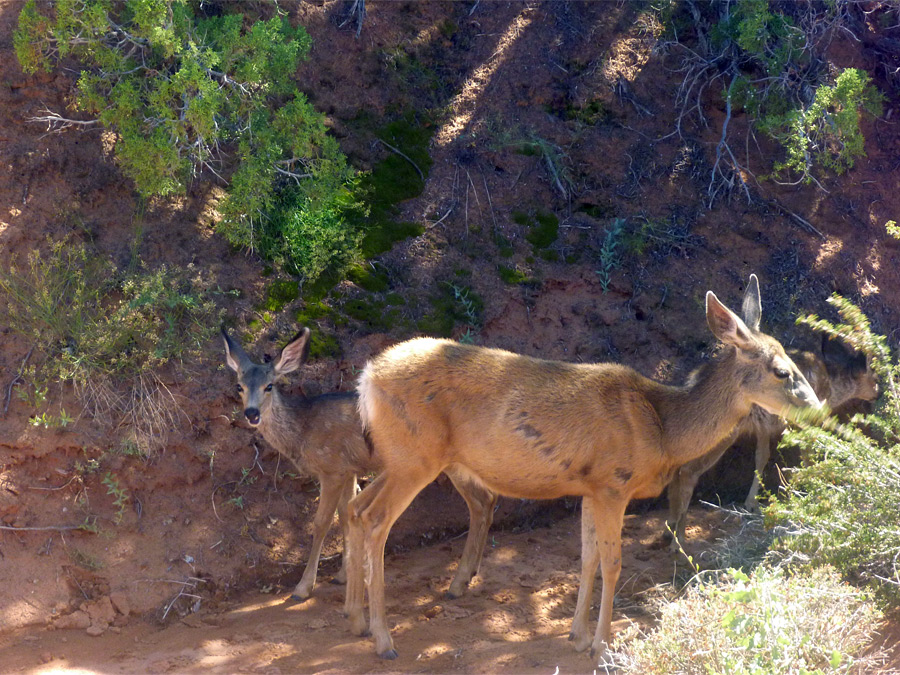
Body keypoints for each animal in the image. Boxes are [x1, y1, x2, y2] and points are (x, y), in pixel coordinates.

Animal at [221, 328, 496, 604]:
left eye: (269, 386)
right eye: (239, 386)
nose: (252, 413)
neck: (303, 429)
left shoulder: (332, 469)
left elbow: (321, 523)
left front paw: (303, 588)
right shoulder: (349, 469)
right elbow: (345, 516)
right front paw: (343, 575)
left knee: (480, 502)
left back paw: (458, 584)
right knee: (488, 498)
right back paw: (470, 574)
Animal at [346, 274, 824, 664]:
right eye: (782, 371)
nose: (817, 405)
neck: (663, 428)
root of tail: (367, 377)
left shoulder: (590, 488)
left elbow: (588, 557)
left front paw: (576, 637)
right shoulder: (613, 483)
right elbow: (612, 563)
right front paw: (601, 644)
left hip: (398, 459)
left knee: (355, 508)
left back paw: (357, 622)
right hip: (416, 457)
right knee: (375, 520)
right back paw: (384, 640)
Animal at [664, 332, 876, 548]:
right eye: (874, 375)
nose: (877, 393)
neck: (833, 387)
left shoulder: (764, 427)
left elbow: (762, 456)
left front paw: (752, 503)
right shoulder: (799, 421)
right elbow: (806, 455)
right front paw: (809, 489)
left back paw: (670, 526)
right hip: (723, 433)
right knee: (688, 471)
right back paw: (678, 539)